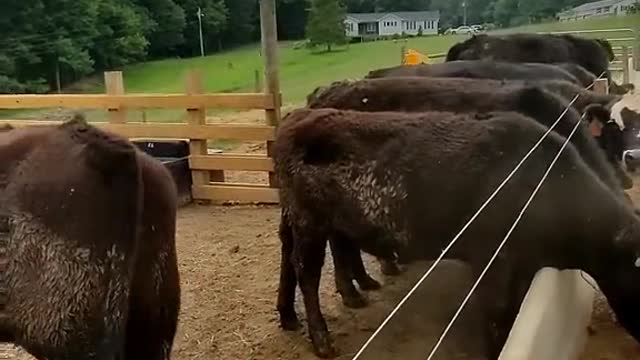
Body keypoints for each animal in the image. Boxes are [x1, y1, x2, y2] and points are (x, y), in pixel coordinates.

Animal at [276, 107, 640, 358]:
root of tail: (297, 117)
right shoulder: (494, 265)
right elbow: (497, 320)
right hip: (309, 222)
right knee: (307, 273)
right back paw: (321, 339)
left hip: (311, 221)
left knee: (302, 258)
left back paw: (301, 312)